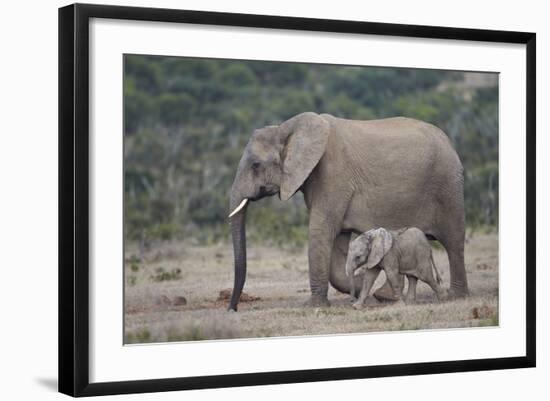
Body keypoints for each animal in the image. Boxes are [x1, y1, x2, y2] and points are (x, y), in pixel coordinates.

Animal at [226, 111, 468, 310]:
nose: (232, 309)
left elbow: (320, 232)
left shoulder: (332, 175)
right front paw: (363, 286)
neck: (286, 128)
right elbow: (338, 241)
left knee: (454, 243)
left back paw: (456, 296)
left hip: (449, 186)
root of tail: (449, 141)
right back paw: (386, 295)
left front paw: (314, 306)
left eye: (255, 165)